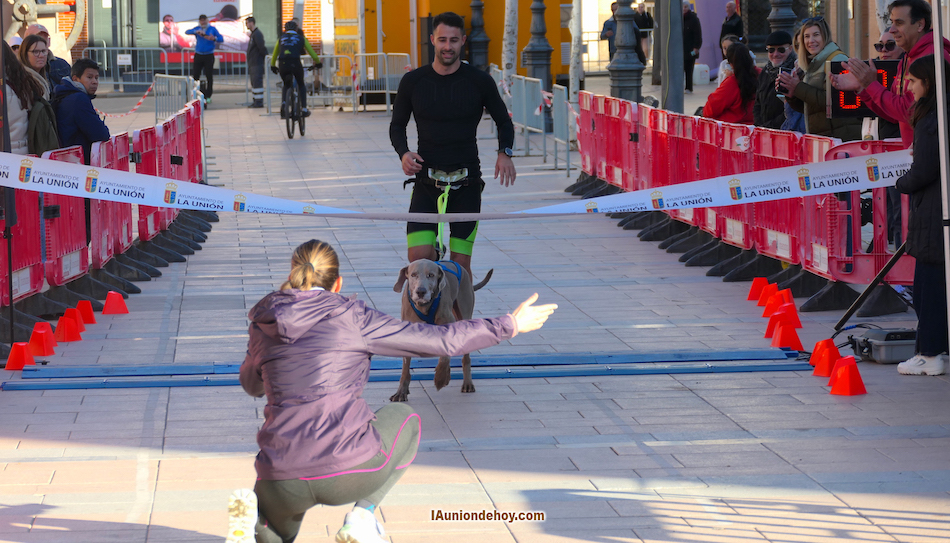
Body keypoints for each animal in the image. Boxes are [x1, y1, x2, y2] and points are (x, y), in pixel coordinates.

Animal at [390, 259, 493, 402]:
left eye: (431, 275)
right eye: (413, 275)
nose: (420, 291)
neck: (424, 306)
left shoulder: (448, 323)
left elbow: (445, 357)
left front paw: (440, 377)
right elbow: (405, 367)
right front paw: (401, 392)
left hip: (464, 309)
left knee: (465, 356)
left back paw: (467, 383)